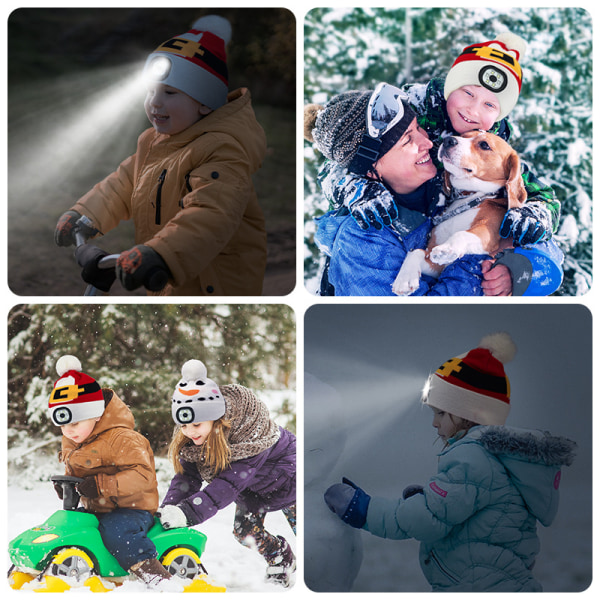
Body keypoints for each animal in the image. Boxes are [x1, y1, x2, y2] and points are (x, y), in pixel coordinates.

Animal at [394, 129, 524, 296]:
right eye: (463, 135)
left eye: (484, 145)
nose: (448, 140)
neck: (468, 196)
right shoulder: (437, 266)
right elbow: (416, 252)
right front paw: (405, 278)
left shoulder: (488, 233)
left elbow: (461, 234)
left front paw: (446, 249)